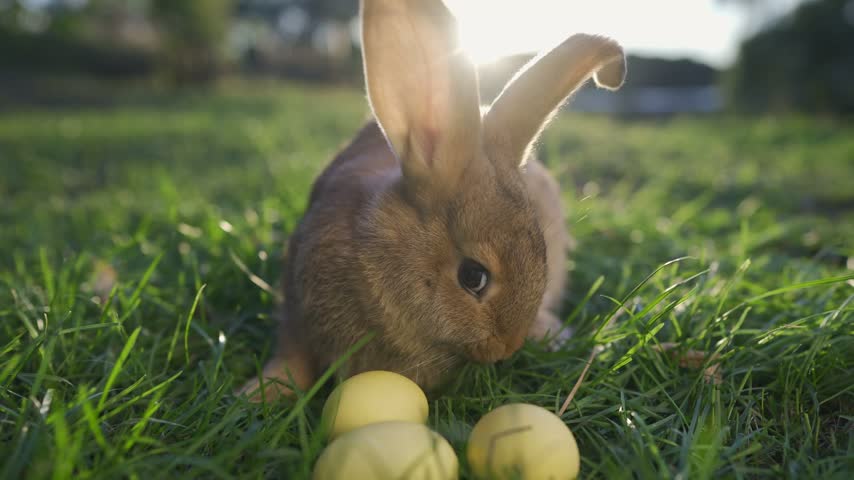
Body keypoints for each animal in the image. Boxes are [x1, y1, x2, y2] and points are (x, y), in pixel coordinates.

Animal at [238, 0, 625, 400]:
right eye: (473, 276)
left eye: (542, 253)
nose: (506, 347)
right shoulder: (296, 312)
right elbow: (292, 361)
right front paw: (255, 393)